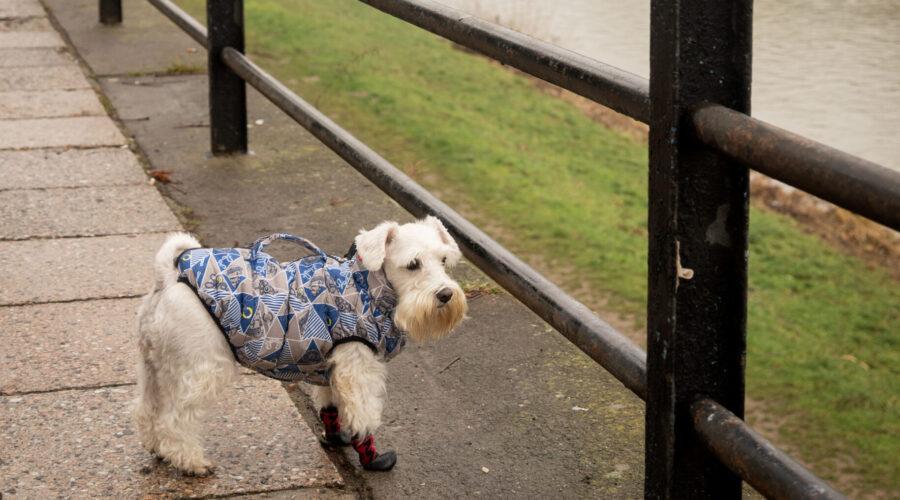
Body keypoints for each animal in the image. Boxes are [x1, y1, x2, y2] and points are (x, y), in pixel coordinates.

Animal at [136, 218, 472, 472]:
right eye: (413, 264)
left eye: (444, 260)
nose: (445, 294)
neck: (368, 289)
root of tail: (169, 277)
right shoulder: (359, 370)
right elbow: (364, 417)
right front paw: (372, 458)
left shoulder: (333, 368)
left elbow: (332, 406)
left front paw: (336, 438)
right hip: (202, 369)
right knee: (174, 418)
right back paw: (191, 462)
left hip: (155, 368)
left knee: (147, 409)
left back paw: (157, 447)